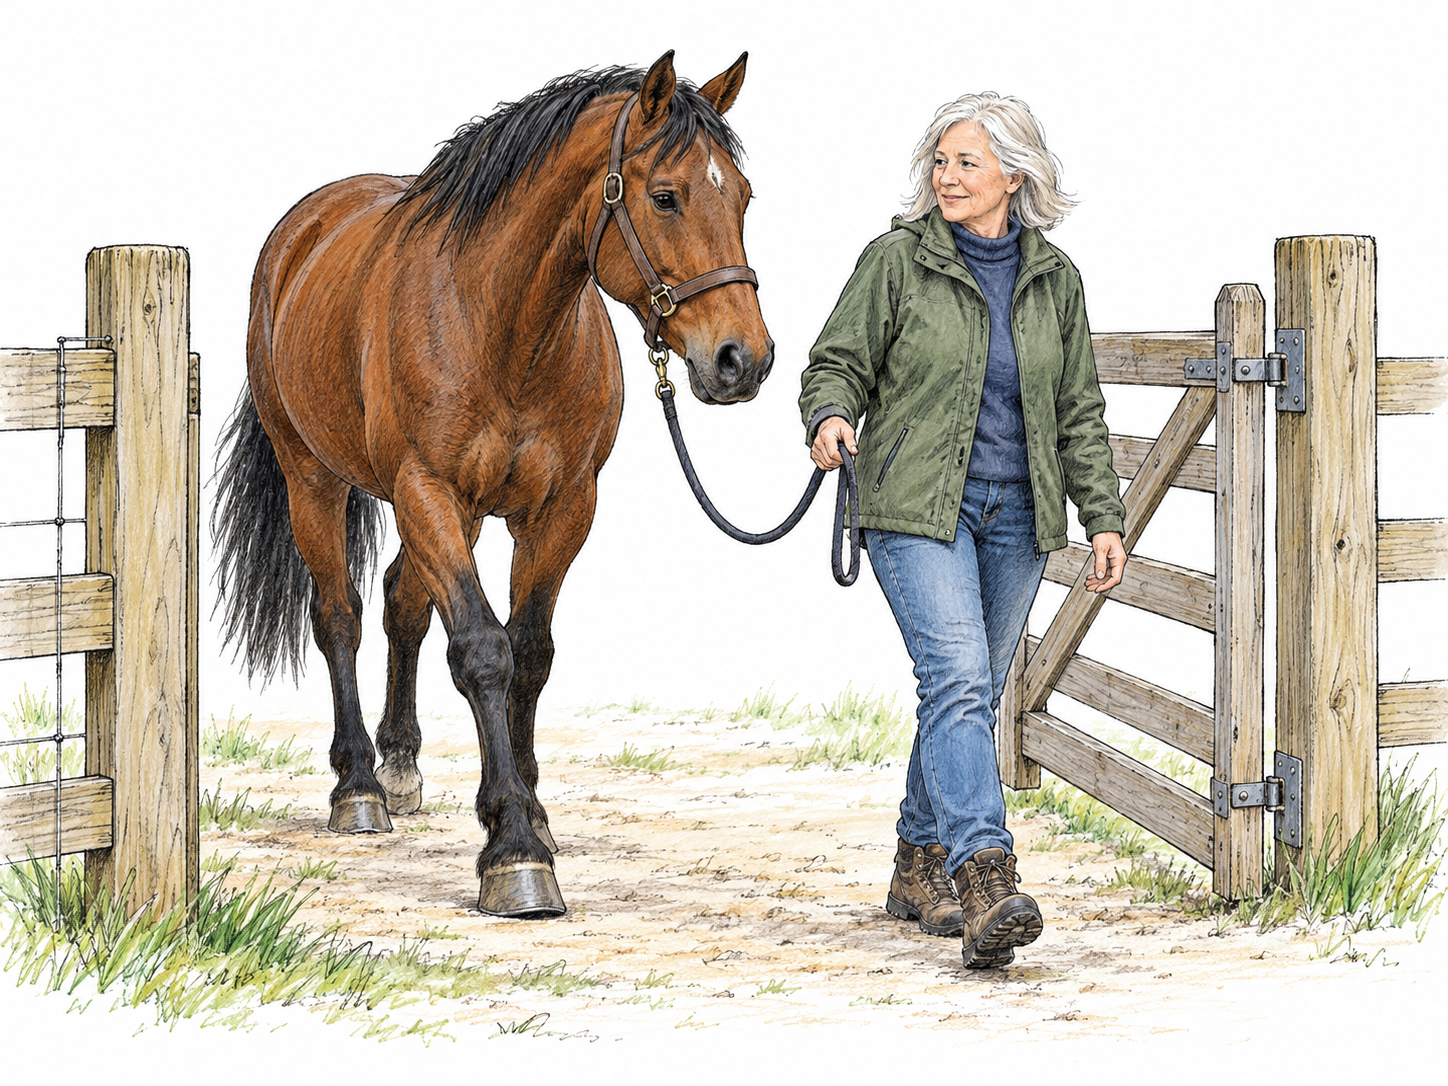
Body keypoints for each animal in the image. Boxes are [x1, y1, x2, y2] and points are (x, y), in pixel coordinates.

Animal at [212, 52, 772, 918]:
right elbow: (481, 649)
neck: (500, 325)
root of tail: (300, 233)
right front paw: (512, 851)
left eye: (741, 196)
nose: (743, 359)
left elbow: (530, 651)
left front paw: (533, 814)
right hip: (316, 481)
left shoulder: (561, 509)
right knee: (339, 616)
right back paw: (359, 787)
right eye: (665, 195)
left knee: (402, 603)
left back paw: (400, 764)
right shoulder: (428, 492)